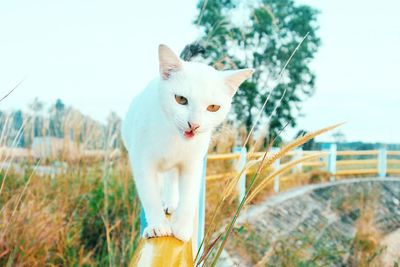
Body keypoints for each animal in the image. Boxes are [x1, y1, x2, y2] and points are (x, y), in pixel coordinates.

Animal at [122, 44, 253, 243]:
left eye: (213, 107)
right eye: (181, 99)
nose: (194, 124)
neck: (174, 138)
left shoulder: (193, 163)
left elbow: (190, 195)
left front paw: (181, 228)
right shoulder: (143, 162)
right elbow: (150, 194)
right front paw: (157, 225)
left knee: (171, 179)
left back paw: (171, 203)